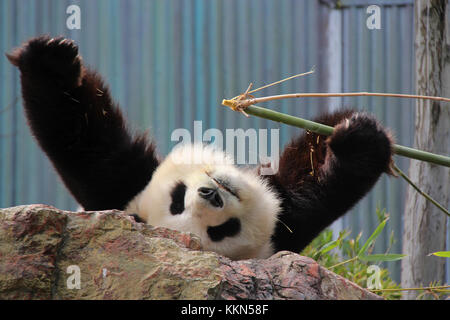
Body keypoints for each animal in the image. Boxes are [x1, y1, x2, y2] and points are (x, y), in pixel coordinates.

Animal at [7, 35, 394, 260]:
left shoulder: (123, 182)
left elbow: (87, 146)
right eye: (220, 231)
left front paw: (50, 62)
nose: (212, 195)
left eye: (177, 198)